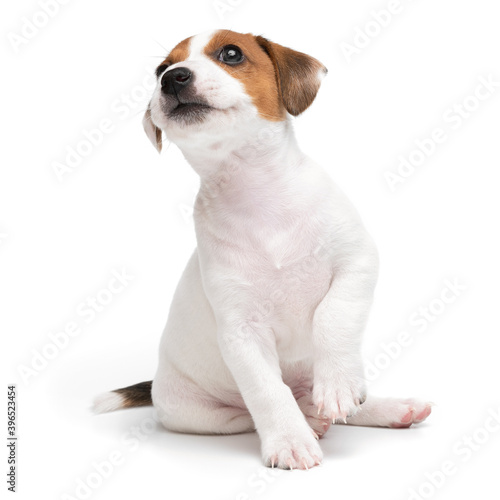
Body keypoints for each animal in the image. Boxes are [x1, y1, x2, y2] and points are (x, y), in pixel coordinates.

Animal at [95, 30, 432, 468]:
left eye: (231, 53)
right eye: (159, 69)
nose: (172, 78)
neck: (257, 194)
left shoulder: (357, 262)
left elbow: (333, 318)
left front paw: (337, 384)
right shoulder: (242, 331)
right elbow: (268, 392)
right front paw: (290, 441)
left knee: (342, 399)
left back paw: (385, 407)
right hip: (199, 415)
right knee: (258, 410)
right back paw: (310, 420)